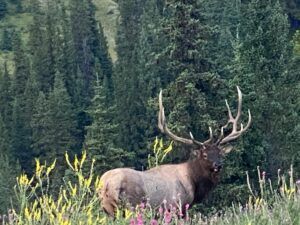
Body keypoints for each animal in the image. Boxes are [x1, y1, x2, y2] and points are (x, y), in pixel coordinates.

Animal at [98, 86, 251, 216]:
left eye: (220, 154)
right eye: (205, 155)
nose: (218, 165)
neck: (193, 183)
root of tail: (107, 184)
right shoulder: (176, 206)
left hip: (108, 208)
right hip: (132, 206)